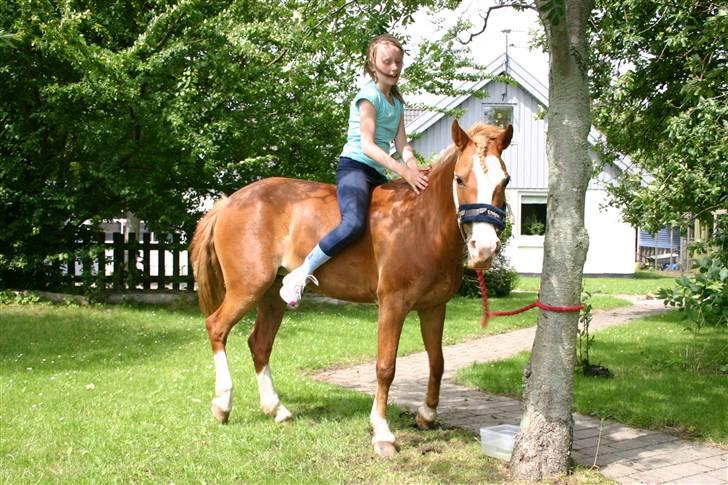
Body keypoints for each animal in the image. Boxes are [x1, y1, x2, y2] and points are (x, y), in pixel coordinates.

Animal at [192, 119, 512, 456]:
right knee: (216, 327)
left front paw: (426, 415)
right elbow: (386, 366)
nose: (484, 249)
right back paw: (222, 404)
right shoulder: (393, 305)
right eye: (460, 179)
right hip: (247, 288)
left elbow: (437, 362)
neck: (421, 223)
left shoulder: (434, 307)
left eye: (505, 180)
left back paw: (277, 409)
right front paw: (382, 432)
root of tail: (230, 201)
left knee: (259, 344)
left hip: (271, 296)